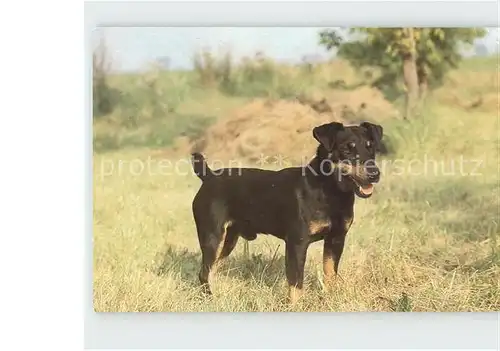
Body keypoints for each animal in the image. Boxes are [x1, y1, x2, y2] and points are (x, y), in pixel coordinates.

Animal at [190, 122, 382, 304]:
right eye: (345, 149)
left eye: (370, 147)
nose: (375, 174)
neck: (329, 190)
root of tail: (208, 176)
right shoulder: (297, 243)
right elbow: (296, 283)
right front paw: (296, 306)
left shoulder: (336, 239)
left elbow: (330, 274)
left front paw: (330, 299)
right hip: (213, 236)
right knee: (204, 272)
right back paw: (209, 298)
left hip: (229, 240)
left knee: (212, 269)